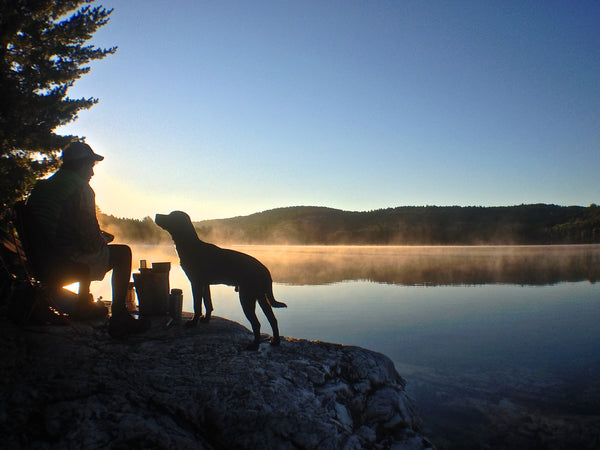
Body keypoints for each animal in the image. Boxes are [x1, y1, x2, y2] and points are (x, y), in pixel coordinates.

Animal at [155, 210, 286, 348]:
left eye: (171, 216)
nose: (156, 215)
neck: (191, 246)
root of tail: (265, 269)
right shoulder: (205, 284)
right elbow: (208, 303)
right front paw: (206, 319)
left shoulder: (196, 283)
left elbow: (197, 305)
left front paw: (193, 322)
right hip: (260, 297)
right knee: (273, 319)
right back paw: (275, 341)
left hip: (247, 297)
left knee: (257, 323)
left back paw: (254, 345)